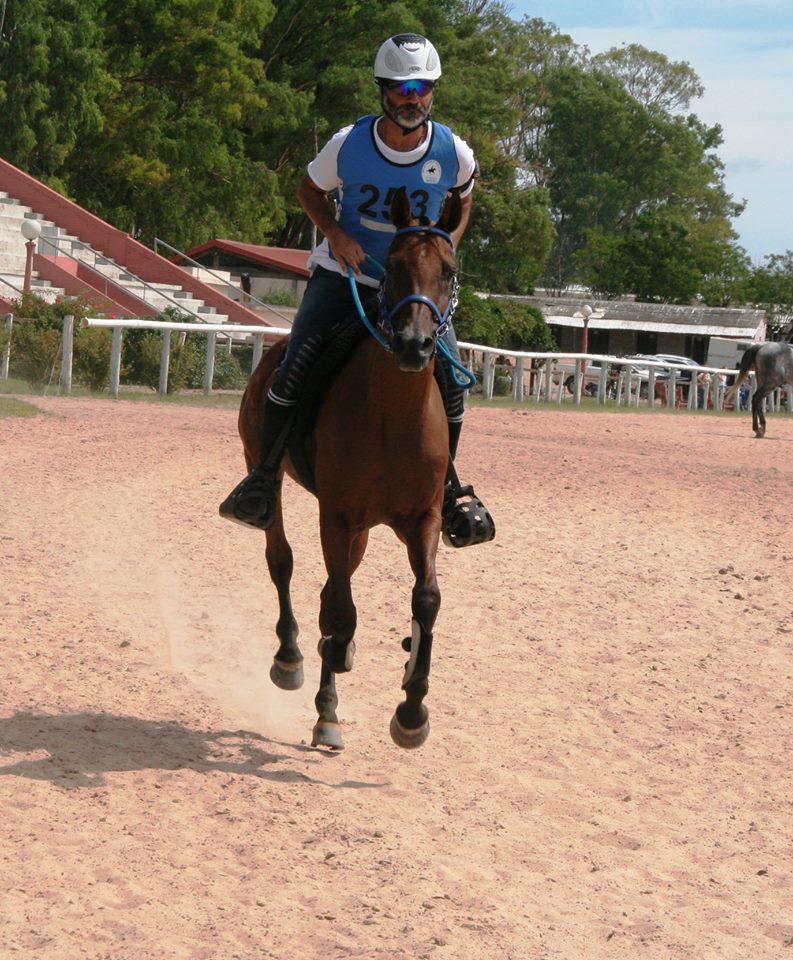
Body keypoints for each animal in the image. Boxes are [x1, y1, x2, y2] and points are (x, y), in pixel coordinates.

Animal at [232, 189, 460, 752]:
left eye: (447, 271)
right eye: (394, 266)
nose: (415, 344)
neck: (392, 417)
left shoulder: (421, 519)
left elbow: (426, 599)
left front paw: (412, 710)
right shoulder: (335, 515)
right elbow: (340, 607)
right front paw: (337, 654)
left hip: (364, 529)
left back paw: (328, 705)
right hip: (267, 473)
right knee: (283, 564)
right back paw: (294, 662)